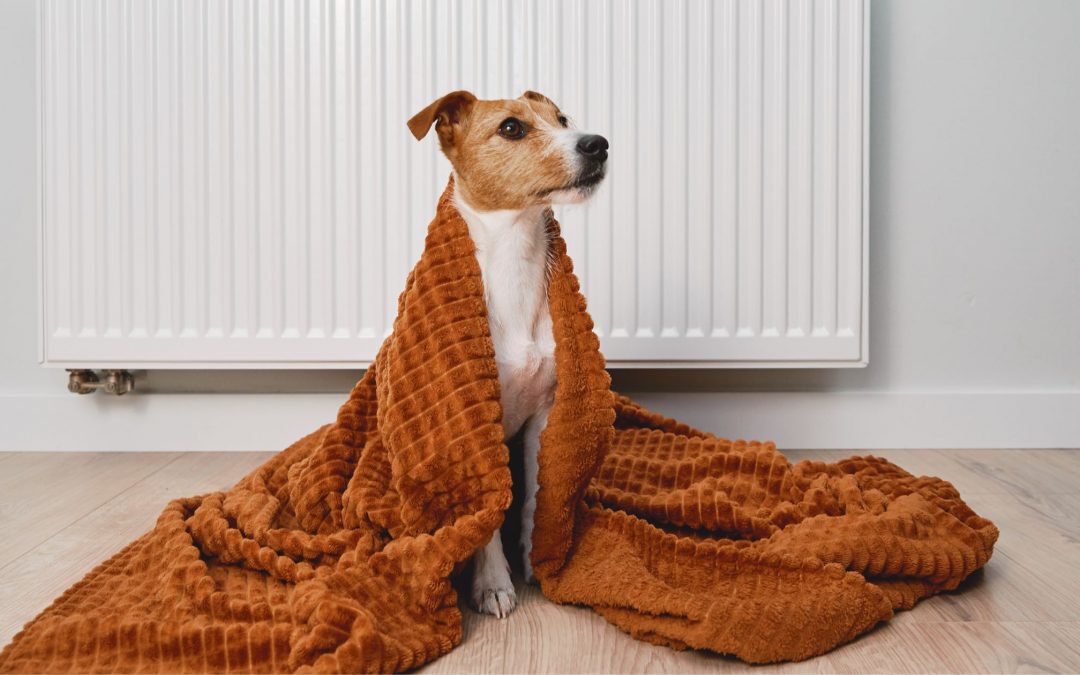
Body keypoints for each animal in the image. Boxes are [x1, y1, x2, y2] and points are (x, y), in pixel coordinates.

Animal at [406, 92, 609, 617]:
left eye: (563, 119)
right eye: (512, 128)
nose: (598, 144)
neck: (514, 257)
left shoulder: (544, 417)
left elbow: (537, 497)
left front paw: (538, 560)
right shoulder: (476, 427)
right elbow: (488, 518)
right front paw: (494, 584)